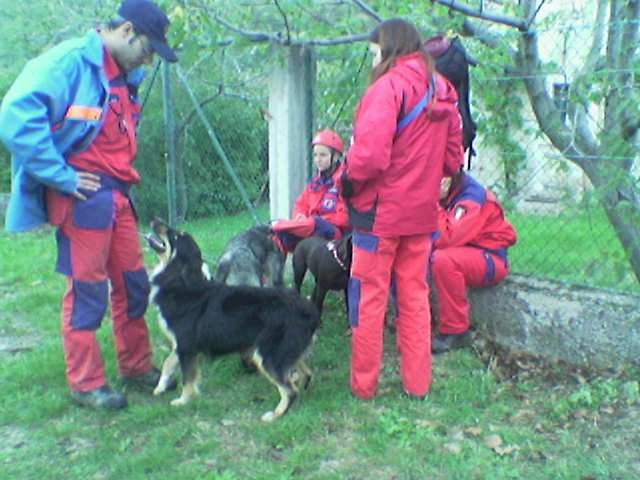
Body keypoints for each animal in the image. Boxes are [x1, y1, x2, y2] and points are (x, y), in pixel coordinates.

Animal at [149, 219, 320, 422]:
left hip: (266, 354)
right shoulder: (182, 344)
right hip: (283, 350)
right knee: (305, 373)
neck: (181, 280)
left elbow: (187, 378)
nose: (155, 220)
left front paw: (183, 400)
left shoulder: (186, 345)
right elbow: (168, 363)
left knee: (289, 390)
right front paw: (160, 386)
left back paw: (275, 415)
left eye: (175, 236)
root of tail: (309, 310)